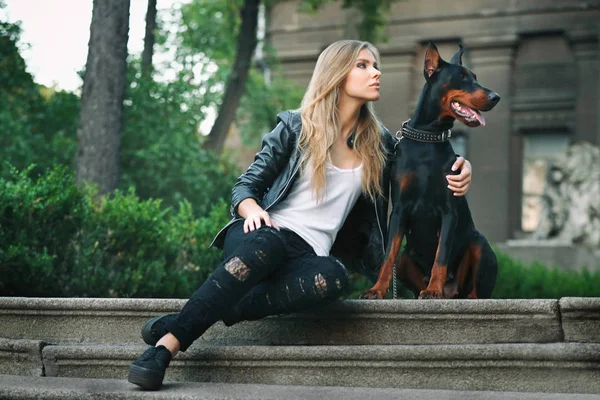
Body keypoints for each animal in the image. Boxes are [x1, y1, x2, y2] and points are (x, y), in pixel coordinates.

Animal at [364, 43, 500, 300]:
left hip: (479, 245)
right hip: (406, 258)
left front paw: (434, 289)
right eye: (461, 77)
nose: (495, 97)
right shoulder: (400, 209)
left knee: (476, 292)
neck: (428, 138)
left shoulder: (449, 211)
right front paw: (377, 289)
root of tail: (452, 292)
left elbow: (441, 254)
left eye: (475, 77)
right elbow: (388, 256)